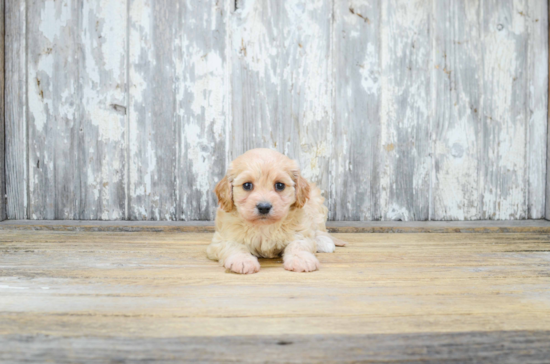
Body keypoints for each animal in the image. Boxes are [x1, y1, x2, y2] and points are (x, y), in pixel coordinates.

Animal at [207, 148, 344, 272]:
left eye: (280, 185)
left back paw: (323, 242)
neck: (264, 226)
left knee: (319, 230)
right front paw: (242, 260)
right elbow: (233, 246)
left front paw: (301, 259)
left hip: (316, 206)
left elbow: (299, 244)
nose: (264, 207)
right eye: (247, 185)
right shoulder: (222, 238)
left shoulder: (300, 230)